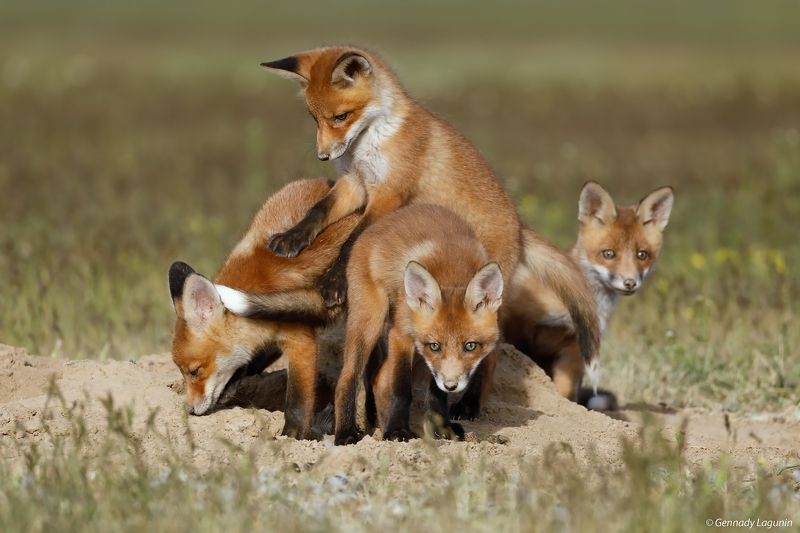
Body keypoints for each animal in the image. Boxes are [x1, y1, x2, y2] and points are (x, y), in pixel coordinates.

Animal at [168, 178, 359, 439]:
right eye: (182, 372)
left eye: (195, 371)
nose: (189, 411)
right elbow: (250, 363)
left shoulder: (301, 341)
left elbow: (297, 401)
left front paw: (293, 436)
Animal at [336, 204, 503, 444]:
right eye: (435, 346)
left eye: (470, 346)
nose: (452, 385)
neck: (452, 271)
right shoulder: (401, 336)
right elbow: (401, 389)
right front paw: (397, 430)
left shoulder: (431, 360)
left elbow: (436, 392)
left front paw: (443, 429)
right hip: (369, 320)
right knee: (349, 377)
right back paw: (346, 432)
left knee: (378, 379)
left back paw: (378, 423)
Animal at [502, 181, 674, 405]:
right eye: (608, 254)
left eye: (642, 255)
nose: (630, 283)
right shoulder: (517, 320)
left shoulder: (576, 347)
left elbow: (565, 393)